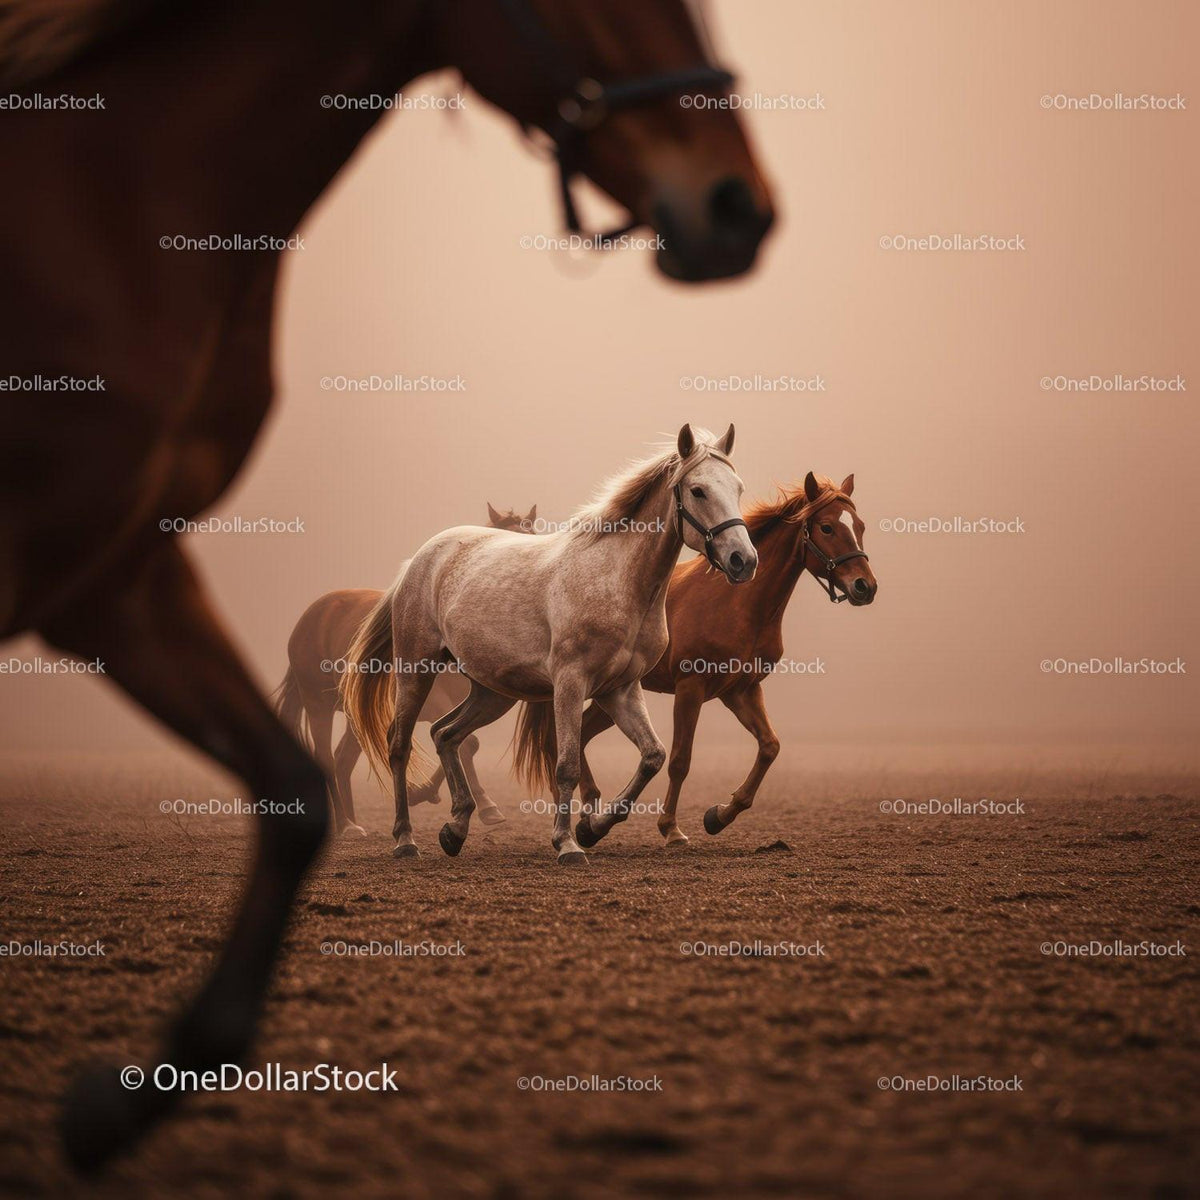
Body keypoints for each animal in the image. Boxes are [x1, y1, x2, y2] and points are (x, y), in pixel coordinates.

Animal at [273, 505, 537, 835]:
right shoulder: (435, 701)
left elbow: (464, 742)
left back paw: (353, 820)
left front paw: (429, 794)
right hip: (317, 705)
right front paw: (473, 804)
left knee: (343, 760)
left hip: (357, 715)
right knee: (327, 758)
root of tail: (311, 617)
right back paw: (346, 823)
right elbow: (464, 742)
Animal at [342, 424, 757, 864]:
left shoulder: (620, 690)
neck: (616, 582)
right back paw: (405, 839)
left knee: (445, 734)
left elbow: (653, 756)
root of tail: (419, 560)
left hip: (493, 693)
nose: (743, 560)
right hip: (416, 670)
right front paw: (568, 843)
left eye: (738, 487)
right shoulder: (571, 684)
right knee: (399, 744)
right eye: (698, 490)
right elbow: (567, 765)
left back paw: (456, 829)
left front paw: (593, 827)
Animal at [514, 473, 877, 844]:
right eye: (827, 527)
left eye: (859, 525)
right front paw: (671, 828)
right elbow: (680, 760)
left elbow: (769, 747)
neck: (737, 603)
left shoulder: (741, 691)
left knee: (580, 735)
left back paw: (589, 816)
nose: (865, 586)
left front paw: (720, 815)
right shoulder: (691, 688)